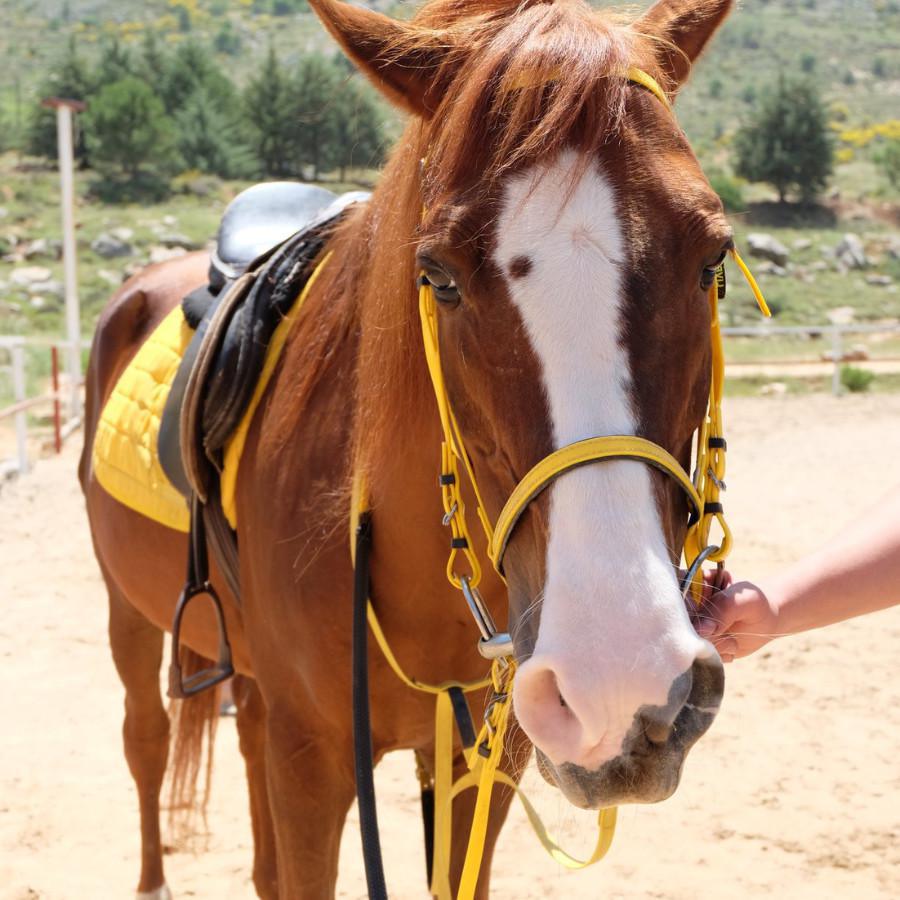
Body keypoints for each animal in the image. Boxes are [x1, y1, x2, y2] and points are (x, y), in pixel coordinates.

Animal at [82, 0, 744, 896]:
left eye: (712, 256)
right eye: (438, 275)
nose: (616, 685)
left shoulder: (478, 758)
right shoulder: (312, 758)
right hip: (128, 610)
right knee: (145, 739)